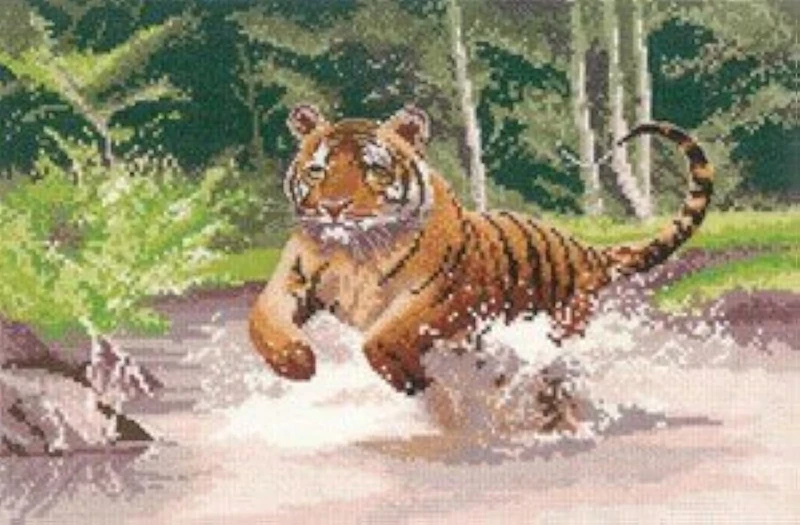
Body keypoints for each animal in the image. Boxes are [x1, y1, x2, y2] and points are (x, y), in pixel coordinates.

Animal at [248, 104, 714, 395]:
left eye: (374, 169)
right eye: (317, 170)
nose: (332, 207)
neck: (355, 253)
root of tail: (587, 250)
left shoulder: (441, 294)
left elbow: (384, 336)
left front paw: (410, 380)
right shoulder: (291, 277)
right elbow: (263, 320)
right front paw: (296, 362)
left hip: (560, 322)